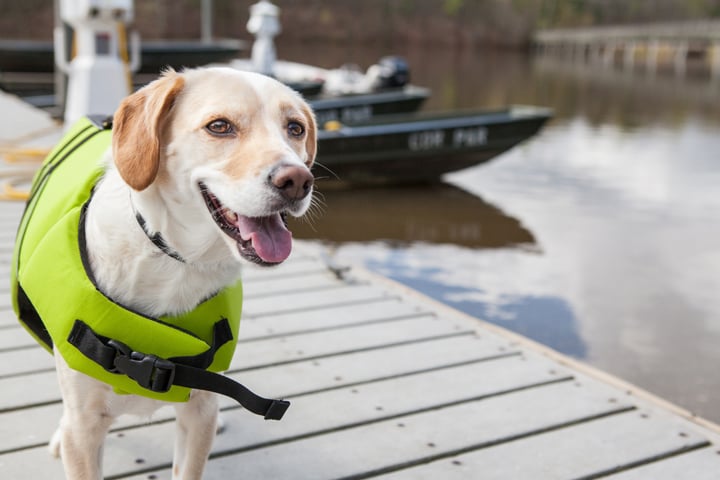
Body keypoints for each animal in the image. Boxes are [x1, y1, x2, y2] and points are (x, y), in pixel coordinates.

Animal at [39, 68, 316, 480]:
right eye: (219, 126)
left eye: (295, 128)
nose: (297, 180)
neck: (175, 260)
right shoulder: (85, 428)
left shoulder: (197, 418)